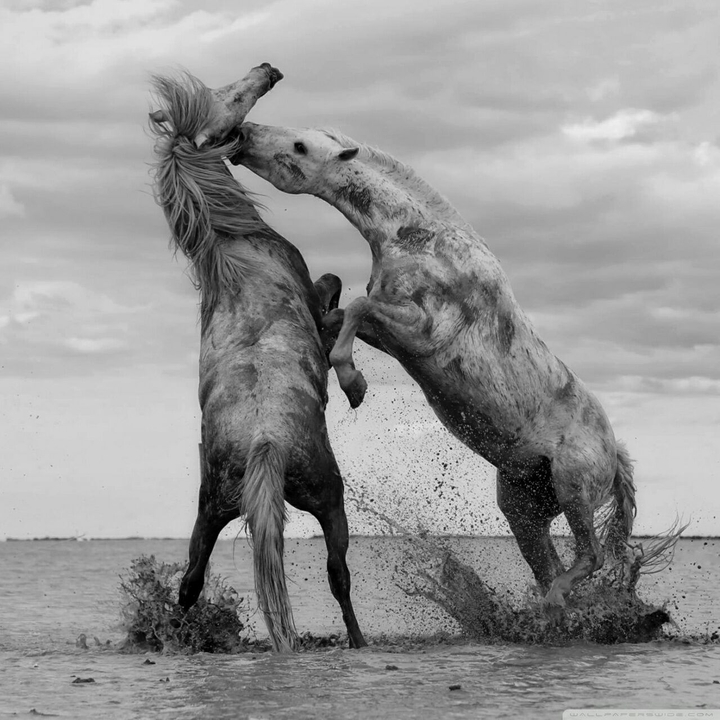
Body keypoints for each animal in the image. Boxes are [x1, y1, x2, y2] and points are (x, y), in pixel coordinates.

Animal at [148, 75, 366, 651]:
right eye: (227, 95)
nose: (269, 69)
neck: (231, 248)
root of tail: (265, 443)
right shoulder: (314, 294)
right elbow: (335, 298)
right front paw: (352, 382)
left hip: (210, 510)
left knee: (191, 580)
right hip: (330, 500)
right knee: (339, 576)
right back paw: (359, 641)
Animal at [225, 121, 663, 609]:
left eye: (300, 146)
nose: (243, 132)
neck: (419, 239)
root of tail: (615, 455)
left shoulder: (421, 330)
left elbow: (355, 308)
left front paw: (353, 384)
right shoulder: (391, 334)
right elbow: (343, 317)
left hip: (572, 485)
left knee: (590, 557)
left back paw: (553, 601)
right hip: (522, 505)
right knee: (548, 563)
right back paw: (548, 609)